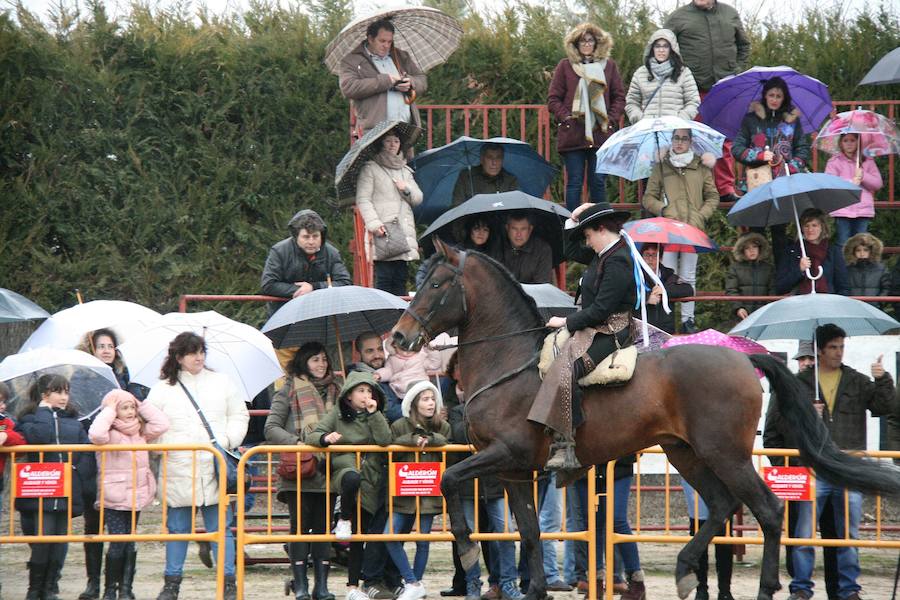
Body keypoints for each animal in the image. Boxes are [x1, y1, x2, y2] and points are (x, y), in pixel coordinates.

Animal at [398, 239, 900, 600]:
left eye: (437, 284)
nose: (400, 337)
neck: (509, 361)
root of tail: (745, 358)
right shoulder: (515, 470)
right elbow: (529, 531)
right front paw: (535, 588)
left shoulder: (504, 455)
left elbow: (450, 481)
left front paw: (466, 552)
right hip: (686, 453)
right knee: (721, 505)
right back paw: (685, 571)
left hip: (726, 454)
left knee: (768, 510)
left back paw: (761, 588)